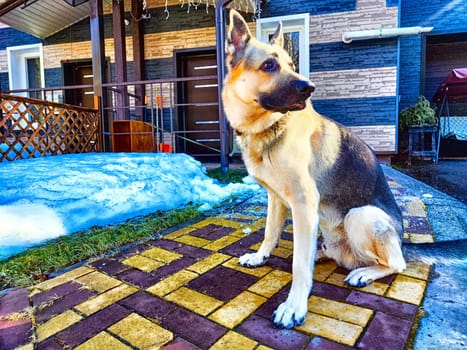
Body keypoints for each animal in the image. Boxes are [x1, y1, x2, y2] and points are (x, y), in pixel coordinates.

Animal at [222, 10, 406, 328]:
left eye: (292, 66)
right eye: (269, 65)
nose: (309, 88)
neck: (270, 128)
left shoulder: (304, 203)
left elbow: (299, 266)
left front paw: (294, 306)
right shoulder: (275, 199)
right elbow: (270, 232)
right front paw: (260, 257)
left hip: (361, 215)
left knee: (396, 263)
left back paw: (364, 272)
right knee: (325, 252)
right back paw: (323, 254)